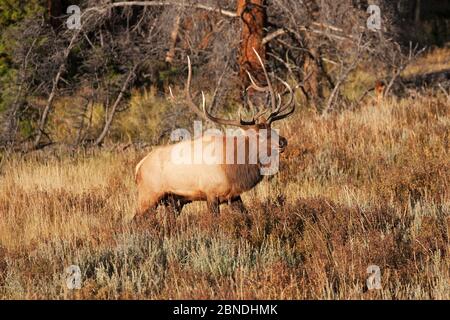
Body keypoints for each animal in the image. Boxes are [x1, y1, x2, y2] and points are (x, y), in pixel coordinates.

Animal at [134, 53, 296, 218]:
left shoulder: (234, 196)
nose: (283, 141)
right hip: (148, 196)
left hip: (173, 201)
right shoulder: (210, 194)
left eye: (271, 128)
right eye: (258, 135)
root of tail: (138, 167)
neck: (233, 169)